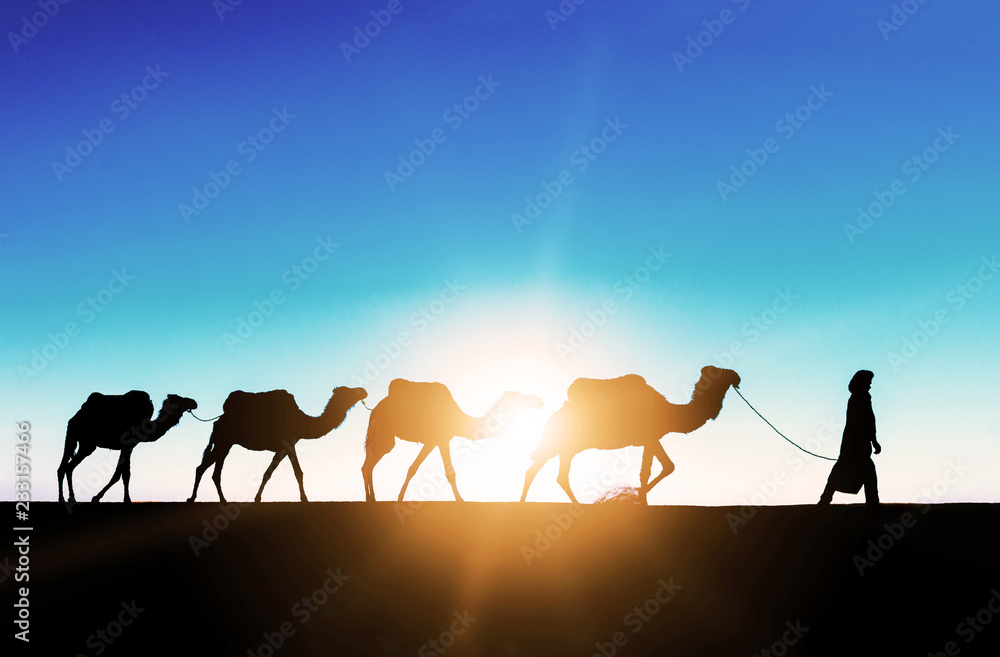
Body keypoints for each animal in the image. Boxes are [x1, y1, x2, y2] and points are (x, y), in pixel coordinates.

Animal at [59, 390, 201, 502]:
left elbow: (122, 473)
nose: (194, 402)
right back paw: (62, 499)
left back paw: (71, 498)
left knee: (68, 467)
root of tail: (76, 416)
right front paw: (122, 499)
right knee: (63, 467)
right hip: (74, 435)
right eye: (179, 399)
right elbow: (123, 474)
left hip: (86, 444)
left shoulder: (130, 446)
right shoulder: (128, 444)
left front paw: (111, 498)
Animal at [188, 384, 368, 502]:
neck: (302, 422)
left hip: (224, 442)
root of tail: (218, 420)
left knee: (208, 469)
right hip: (224, 441)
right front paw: (304, 498)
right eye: (348, 391)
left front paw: (258, 497)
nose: (364, 391)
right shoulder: (288, 442)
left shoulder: (283, 447)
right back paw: (204, 498)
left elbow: (271, 472)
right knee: (209, 469)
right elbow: (296, 472)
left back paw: (207, 498)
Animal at [362, 376, 544, 500]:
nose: (539, 400)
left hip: (385, 438)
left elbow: (415, 468)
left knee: (368, 465)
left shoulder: (438, 440)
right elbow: (443, 472)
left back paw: (372, 498)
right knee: (368, 464)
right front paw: (460, 500)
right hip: (383, 433)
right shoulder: (438, 439)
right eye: (518, 397)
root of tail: (374, 410)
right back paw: (369, 498)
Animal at [520, 366, 740, 504]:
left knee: (540, 471)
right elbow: (650, 471)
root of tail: (554, 417)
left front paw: (640, 497)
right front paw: (639, 499)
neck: (669, 412)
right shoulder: (650, 437)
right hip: (565, 442)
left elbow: (664, 467)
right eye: (719, 372)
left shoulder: (652, 438)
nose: (736, 376)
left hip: (563, 445)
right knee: (555, 474)